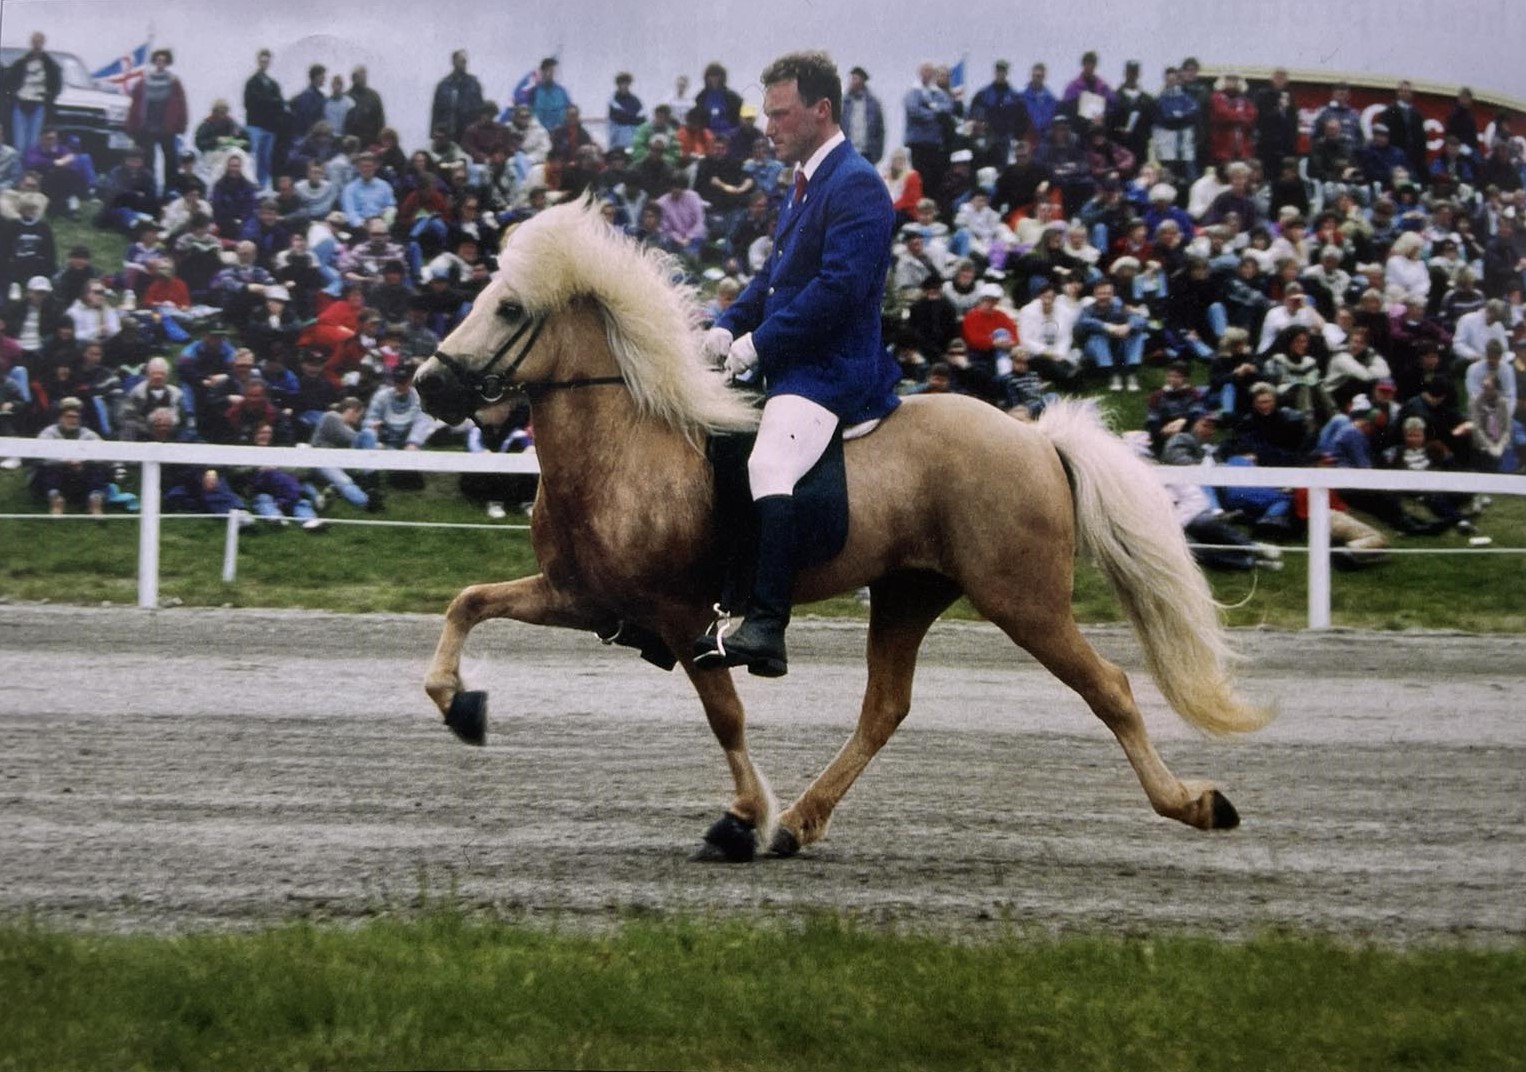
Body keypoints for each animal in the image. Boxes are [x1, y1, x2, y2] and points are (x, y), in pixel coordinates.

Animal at [412, 196, 1269, 867]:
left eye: (509, 309)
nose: (426, 384)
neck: (626, 442)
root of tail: (1034, 438)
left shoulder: (683, 617)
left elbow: (726, 714)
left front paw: (740, 820)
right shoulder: (584, 597)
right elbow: (468, 601)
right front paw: (458, 704)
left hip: (1023, 601)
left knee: (1110, 688)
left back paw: (1195, 804)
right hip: (908, 593)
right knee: (884, 708)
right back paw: (800, 823)